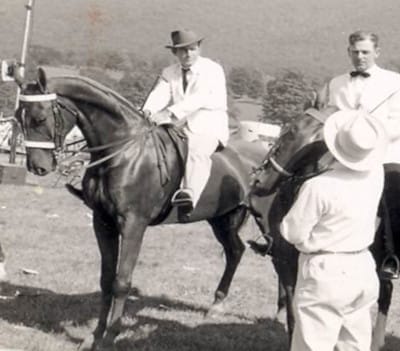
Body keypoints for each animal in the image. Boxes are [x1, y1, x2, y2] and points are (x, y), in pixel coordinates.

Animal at [15, 69, 272, 351]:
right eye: (18, 117)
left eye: (40, 118)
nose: (37, 167)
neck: (123, 151)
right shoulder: (102, 222)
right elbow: (106, 279)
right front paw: (94, 337)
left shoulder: (133, 224)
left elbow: (121, 282)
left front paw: (109, 338)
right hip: (222, 219)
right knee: (235, 251)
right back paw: (216, 305)